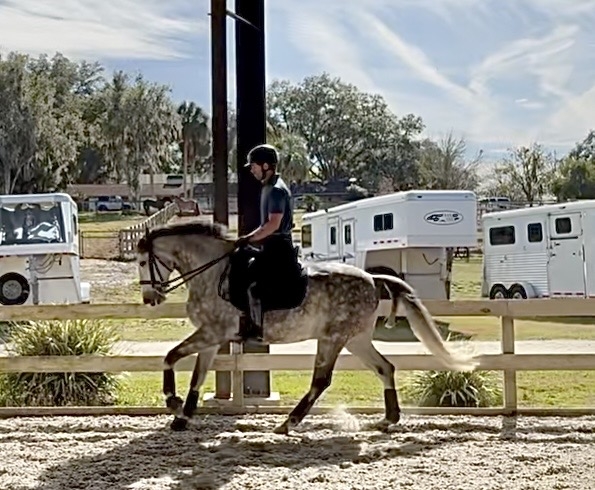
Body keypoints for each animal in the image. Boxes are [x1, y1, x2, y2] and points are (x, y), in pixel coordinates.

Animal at [135, 219, 479, 434]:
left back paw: (289, 423)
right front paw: (183, 416)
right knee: (385, 368)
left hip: (332, 338)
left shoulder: (212, 333)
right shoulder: (211, 337)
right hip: (355, 339)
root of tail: (372, 277)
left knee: (321, 380)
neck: (213, 272)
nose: (150, 298)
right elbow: (198, 374)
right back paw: (389, 419)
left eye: (140, 262)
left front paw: (172, 402)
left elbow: (169, 356)